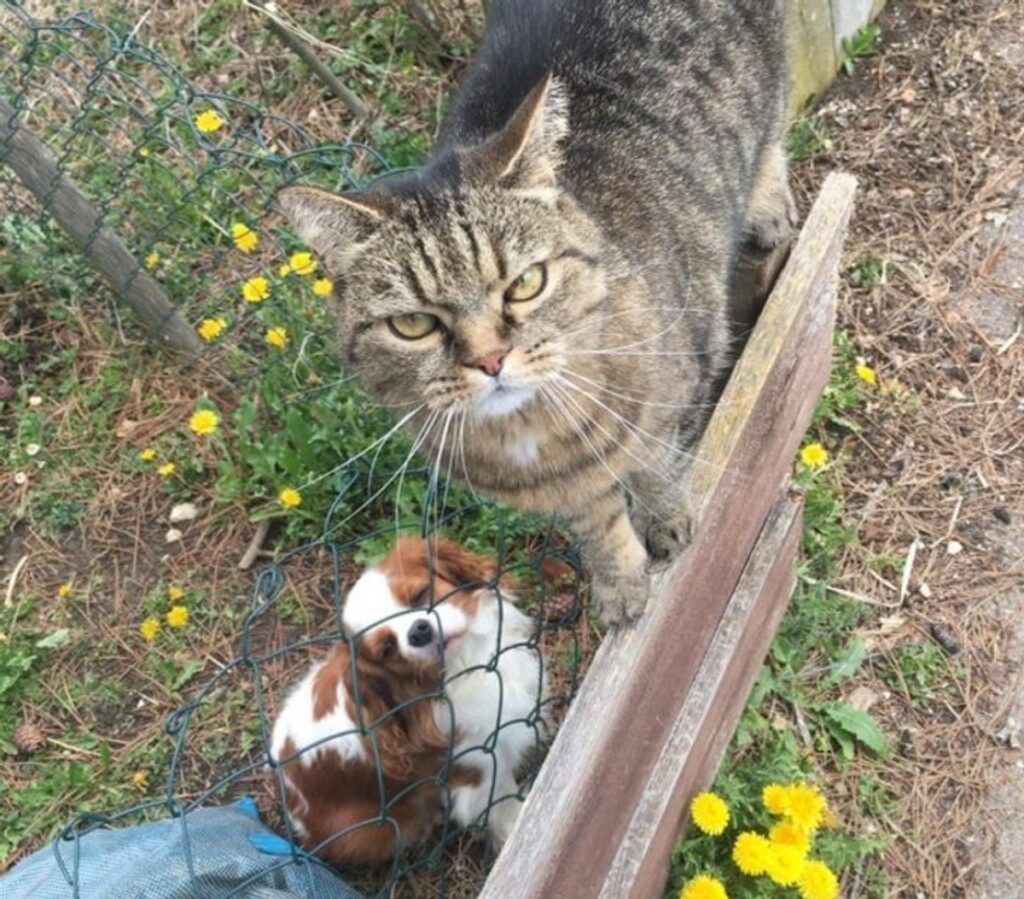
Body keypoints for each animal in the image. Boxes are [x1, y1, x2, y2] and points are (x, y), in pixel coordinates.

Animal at [270, 536, 544, 868]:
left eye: (420, 595)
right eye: (388, 648)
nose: (418, 631)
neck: (465, 664)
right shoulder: (481, 766)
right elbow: (504, 803)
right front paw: (522, 826)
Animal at [278, 0, 790, 626]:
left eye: (525, 284)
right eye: (413, 324)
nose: (490, 360)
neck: (533, 433)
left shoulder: (687, 381)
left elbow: (655, 463)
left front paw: (666, 519)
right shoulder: (569, 492)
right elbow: (598, 523)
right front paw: (620, 582)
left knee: (772, 138)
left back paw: (769, 205)